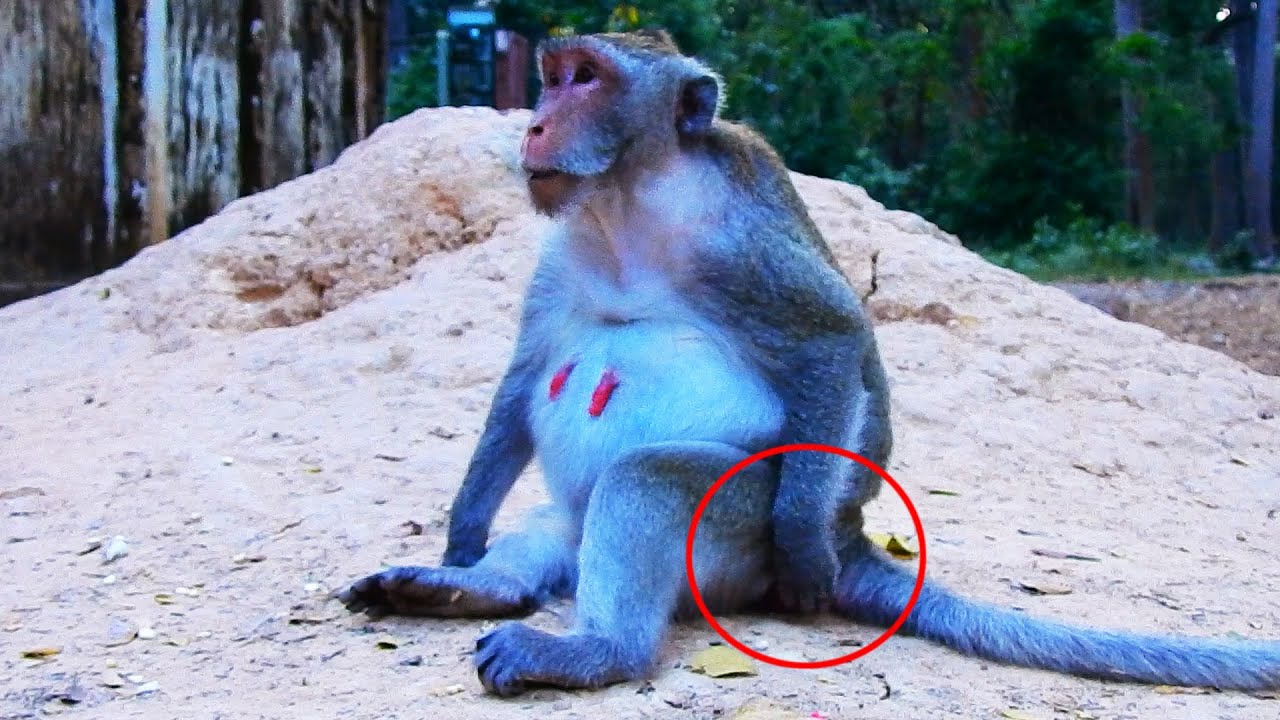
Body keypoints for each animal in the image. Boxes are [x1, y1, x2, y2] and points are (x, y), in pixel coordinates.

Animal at [338, 29, 1280, 697]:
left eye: (586, 79)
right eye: (552, 75)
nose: (534, 124)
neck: (626, 202)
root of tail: (855, 531)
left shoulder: (737, 241)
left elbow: (833, 344)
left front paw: (799, 551)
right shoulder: (560, 251)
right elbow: (522, 378)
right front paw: (462, 539)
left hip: (735, 526)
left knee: (651, 478)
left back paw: (600, 648)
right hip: (574, 525)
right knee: (552, 526)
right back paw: (467, 591)